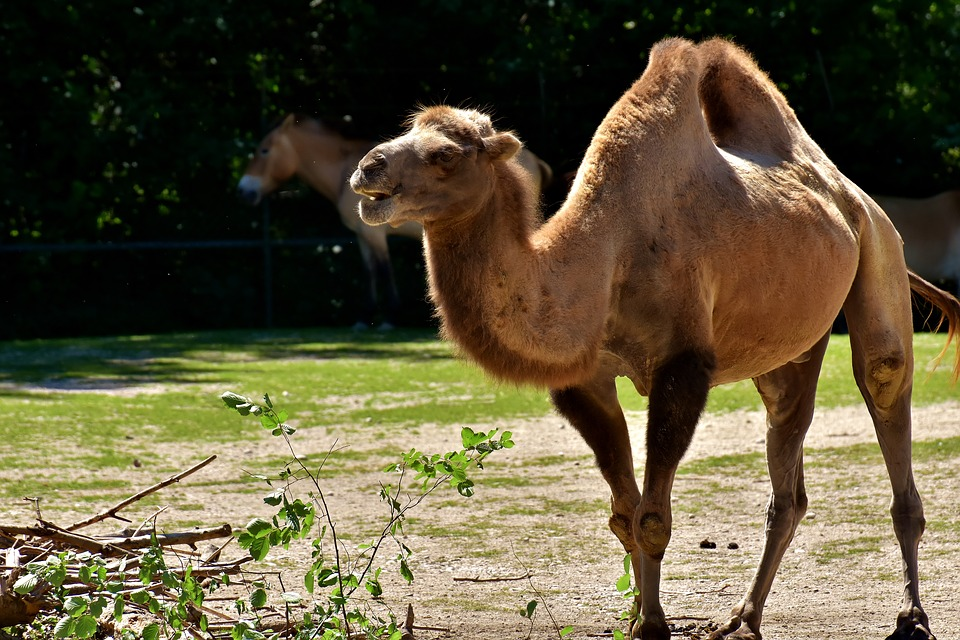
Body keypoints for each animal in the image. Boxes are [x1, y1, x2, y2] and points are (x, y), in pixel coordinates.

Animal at [236, 113, 556, 330]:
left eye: (263, 150)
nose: (244, 190)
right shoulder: (362, 236)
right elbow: (369, 272)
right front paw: (365, 317)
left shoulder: (375, 235)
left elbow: (383, 270)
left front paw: (389, 317)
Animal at [350, 37, 960, 636]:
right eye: (408, 130)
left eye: (445, 154)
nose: (366, 169)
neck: (606, 259)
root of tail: (855, 198)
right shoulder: (585, 380)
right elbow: (624, 514)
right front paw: (644, 618)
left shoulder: (683, 362)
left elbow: (652, 519)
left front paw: (652, 626)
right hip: (789, 348)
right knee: (788, 473)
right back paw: (743, 619)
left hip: (879, 256)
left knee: (884, 382)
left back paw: (911, 616)